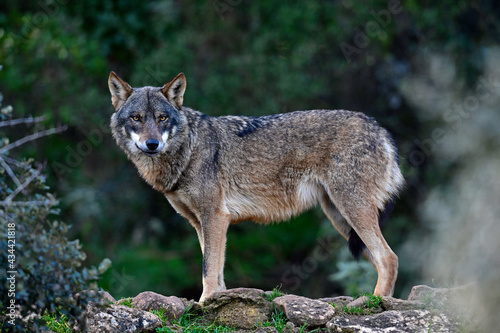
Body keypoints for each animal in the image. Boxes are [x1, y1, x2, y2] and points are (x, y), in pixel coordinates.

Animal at [107, 71, 404, 302]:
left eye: (162, 118)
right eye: (136, 118)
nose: (152, 144)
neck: (188, 151)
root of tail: (380, 129)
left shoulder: (215, 216)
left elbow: (208, 269)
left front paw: (204, 303)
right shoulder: (202, 223)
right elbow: (215, 268)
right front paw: (215, 300)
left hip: (351, 211)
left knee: (389, 258)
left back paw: (375, 302)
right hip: (340, 218)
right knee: (382, 259)